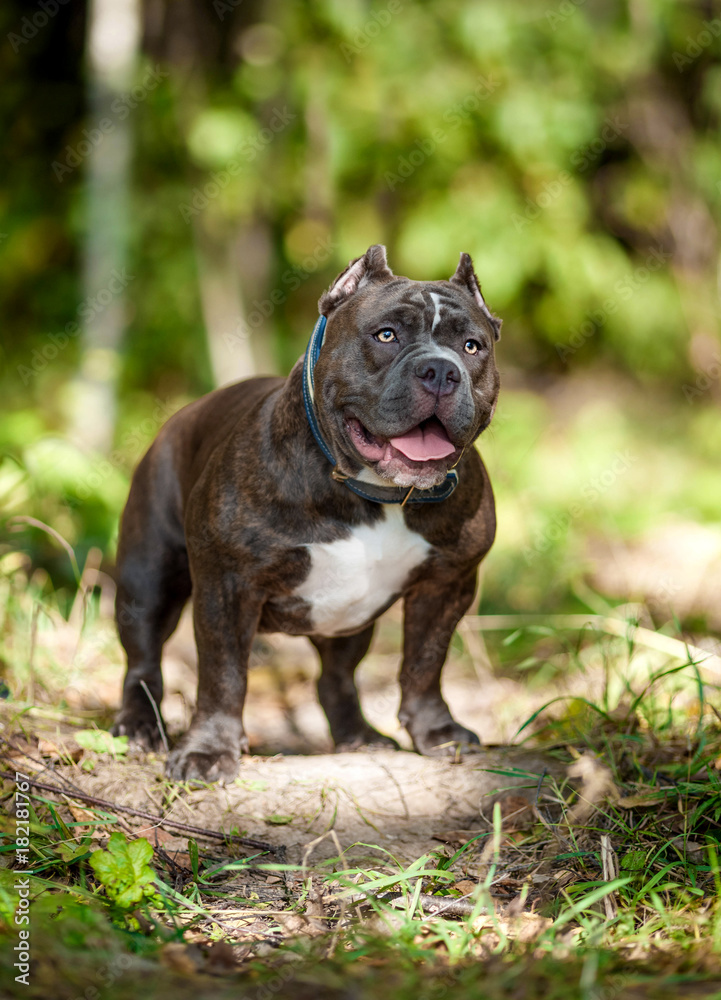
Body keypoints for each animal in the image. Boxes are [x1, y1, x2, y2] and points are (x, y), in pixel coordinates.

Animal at [114, 248, 500, 780]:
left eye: (471, 346)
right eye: (386, 335)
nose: (441, 371)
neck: (373, 494)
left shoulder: (447, 584)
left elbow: (426, 663)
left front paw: (437, 731)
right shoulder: (226, 585)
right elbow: (223, 675)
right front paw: (208, 750)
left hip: (347, 621)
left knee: (335, 677)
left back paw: (359, 737)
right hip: (145, 579)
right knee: (143, 660)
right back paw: (138, 727)